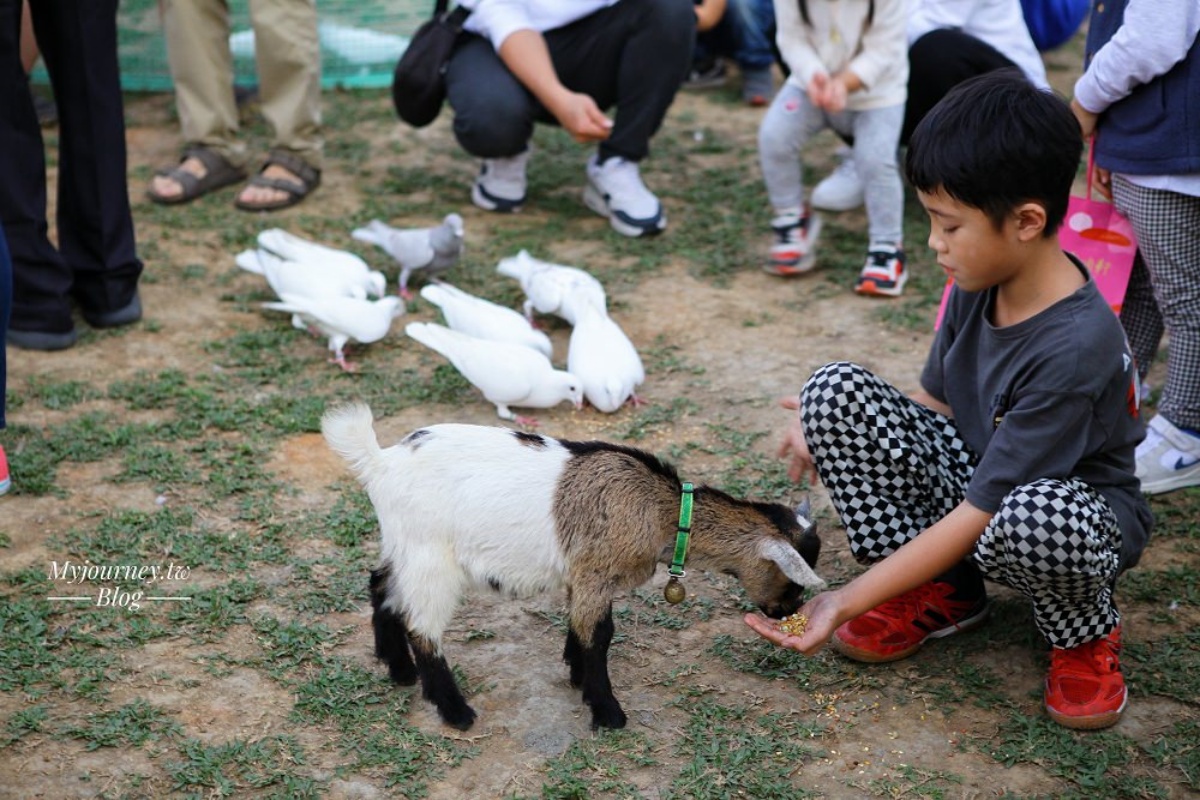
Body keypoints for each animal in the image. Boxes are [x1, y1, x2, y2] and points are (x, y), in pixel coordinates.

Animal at [321, 407, 825, 734]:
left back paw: (399, 669)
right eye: (792, 577)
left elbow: (581, 626)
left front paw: (577, 674)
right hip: (432, 558)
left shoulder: (582, 574)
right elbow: (599, 634)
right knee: (422, 625)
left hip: (403, 545)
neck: (662, 510)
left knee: (380, 585)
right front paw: (607, 712)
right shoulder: (596, 571)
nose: (787, 613)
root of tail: (380, 462)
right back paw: (454, 711)